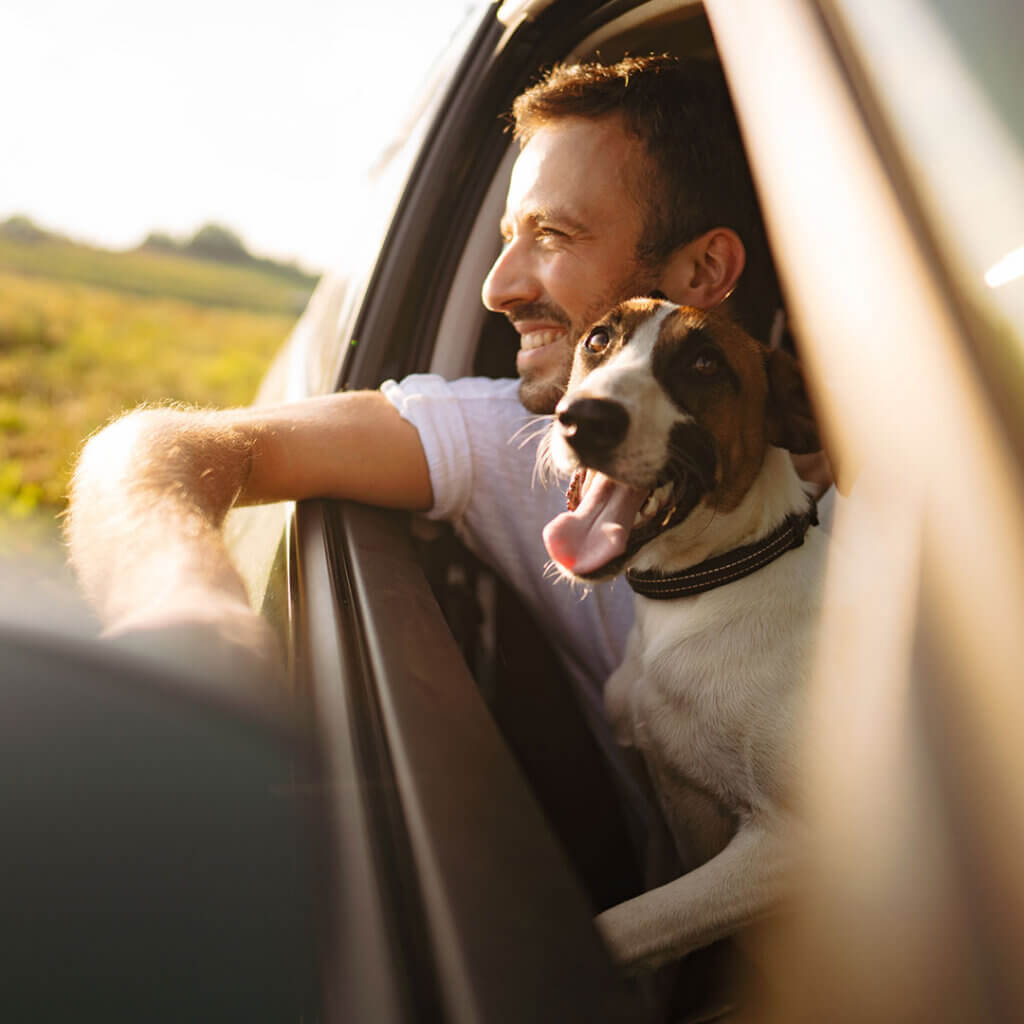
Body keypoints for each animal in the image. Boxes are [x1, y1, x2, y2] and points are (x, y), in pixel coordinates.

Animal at [540, 299, 827, 974]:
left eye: (705, 364)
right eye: (599, 339)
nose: (583, 419)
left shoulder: (790, 845)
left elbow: (620, 928)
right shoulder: (661, 804)